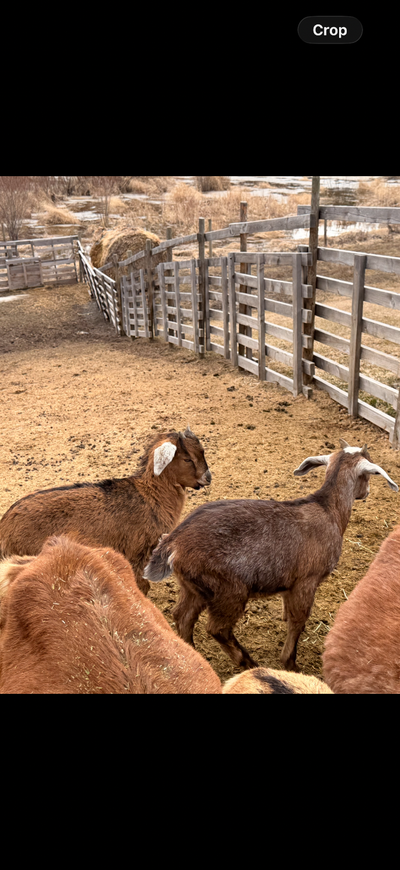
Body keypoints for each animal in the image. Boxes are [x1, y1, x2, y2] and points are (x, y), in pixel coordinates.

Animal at [0, 426, 211, 596]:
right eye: (187, 459)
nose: (208, 477)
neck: (149, 495)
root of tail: (5, 528)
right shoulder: (137, 551)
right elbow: (141, 586)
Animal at [144, 439, 398, 672]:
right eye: (368, 475)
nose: (366, 493)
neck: (328, 510)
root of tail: (173, 542)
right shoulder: (307, 580)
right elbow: (298, 621)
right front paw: (290, 663)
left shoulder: (290, 582)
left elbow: (289, 614)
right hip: (228, 589)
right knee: (217, 628)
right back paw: (247, 662)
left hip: (194, 587)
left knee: (182, 617)